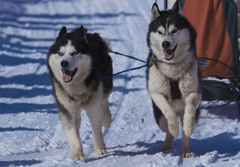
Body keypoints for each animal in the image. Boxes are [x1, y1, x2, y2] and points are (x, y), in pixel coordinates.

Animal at [47, 25, 113, 160]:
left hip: (105, 85)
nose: (64, 62)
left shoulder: (94, 106)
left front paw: (100, 147)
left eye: (74, 53)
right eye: (60, 54)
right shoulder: (67, 108)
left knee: (104, 102)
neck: (76, 89)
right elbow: (72, 132)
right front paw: (78, 154)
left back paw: (107, 119)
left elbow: (96, 129)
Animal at [146, 2, 201, 158]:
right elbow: (168, 110)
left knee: (185, 131)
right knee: (166, 128)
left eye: (174, 30)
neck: (173, 69)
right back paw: (167, 143)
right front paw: (174, 128)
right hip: (159, 118)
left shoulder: (195, 92)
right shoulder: (155, 92)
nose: (165, 43)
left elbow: (190, 107)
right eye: (160, 32)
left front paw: (188, 126)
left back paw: (186, 150)